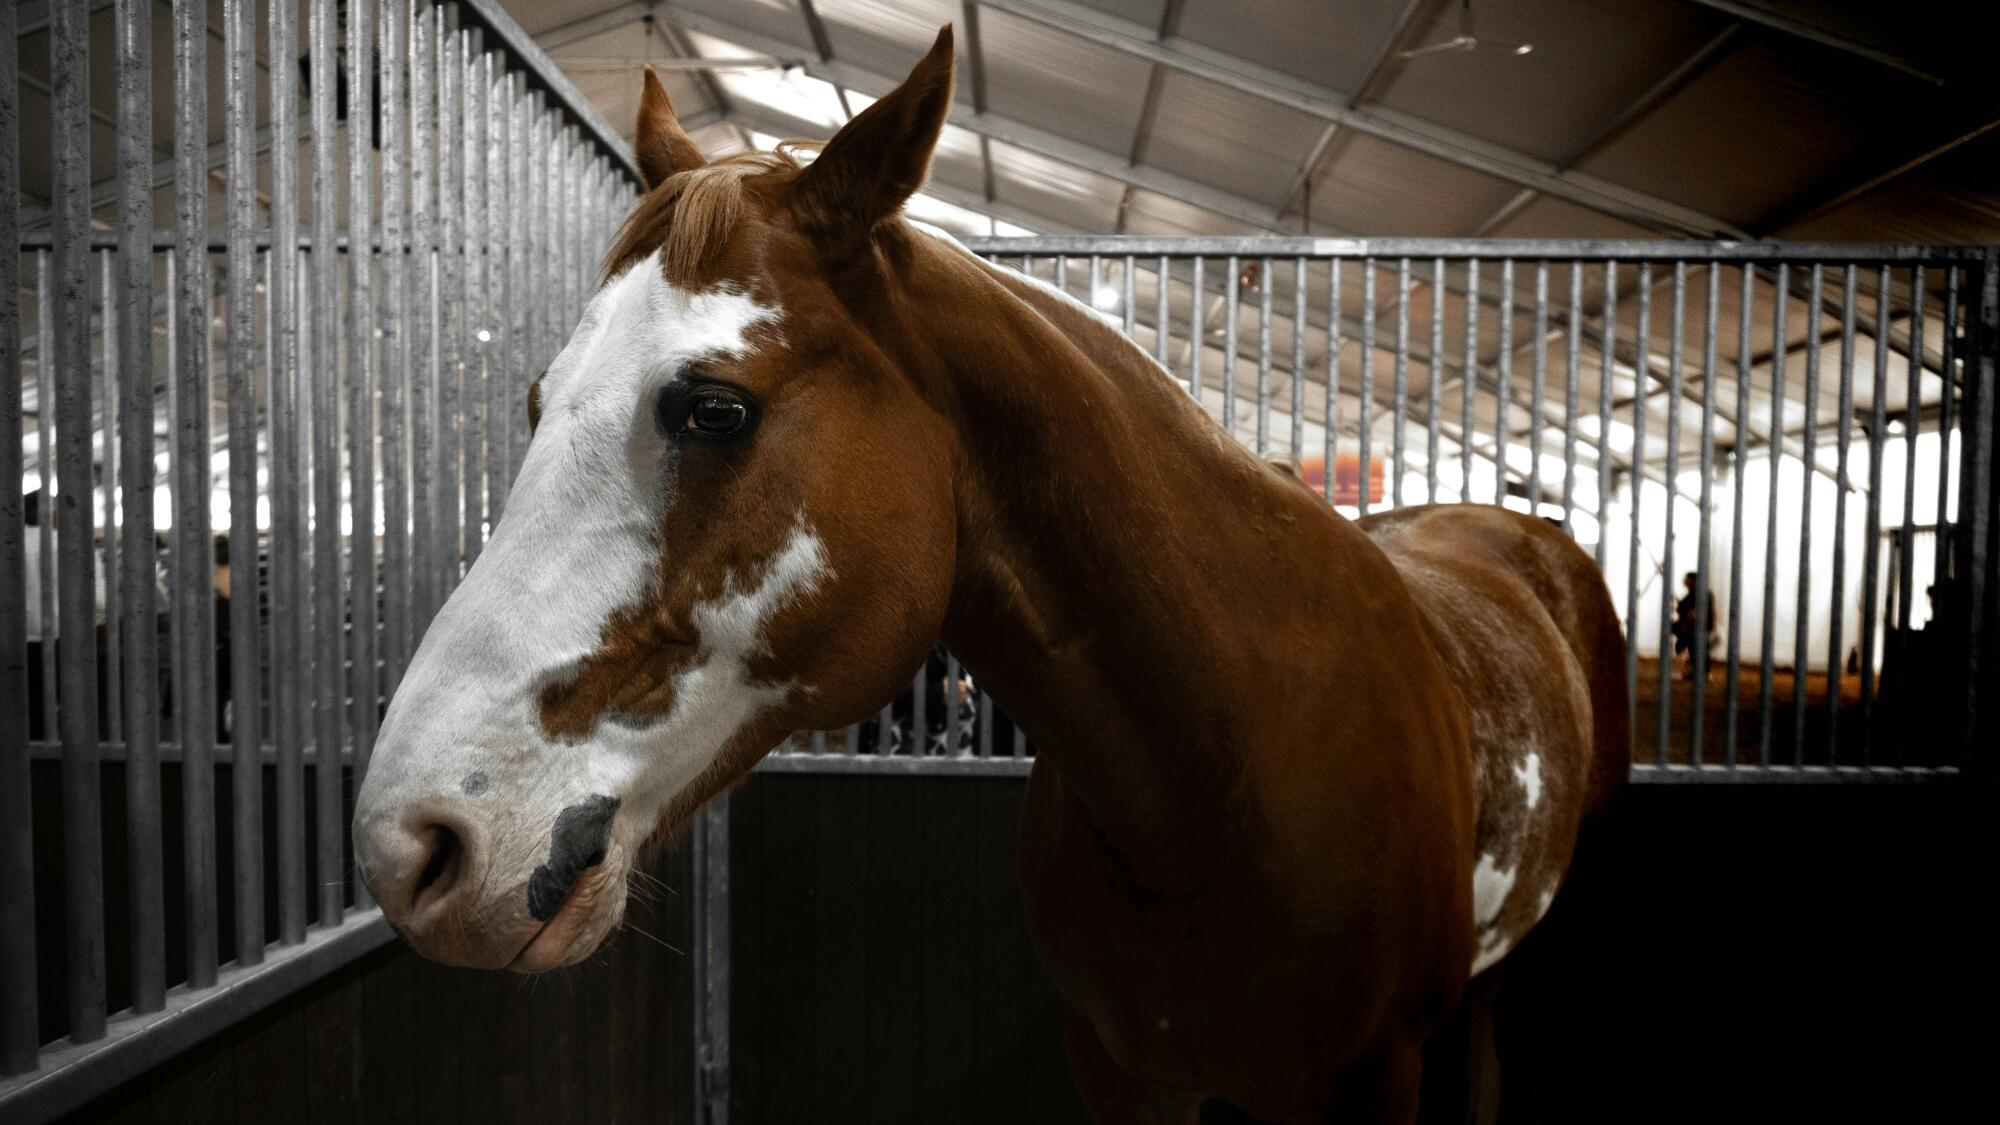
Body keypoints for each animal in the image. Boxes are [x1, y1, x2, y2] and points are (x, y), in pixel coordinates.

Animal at [352, 27, 1628, 1122]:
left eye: (715, 408)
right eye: (536, 403)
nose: (413, 847)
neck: (1225, 777)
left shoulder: (1379, 1080)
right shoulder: (1120, 1072)